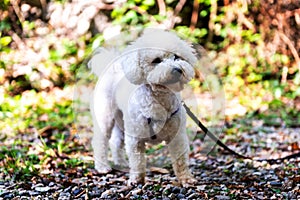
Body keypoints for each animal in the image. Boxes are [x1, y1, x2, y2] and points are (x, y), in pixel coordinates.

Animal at [89, 28, 197, 185]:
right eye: (156, 60)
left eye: (177, 57)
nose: (178, 69)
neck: (160, 98)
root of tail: (110, 67)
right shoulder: (135, 138)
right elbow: (137, 160)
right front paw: (137, 180)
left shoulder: (177, 137)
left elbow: (180, 160)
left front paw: (186, 179)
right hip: (105, 116)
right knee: (100, 141)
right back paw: (102, 167)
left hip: (122, 121)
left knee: (116, 142)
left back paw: (121, 162)